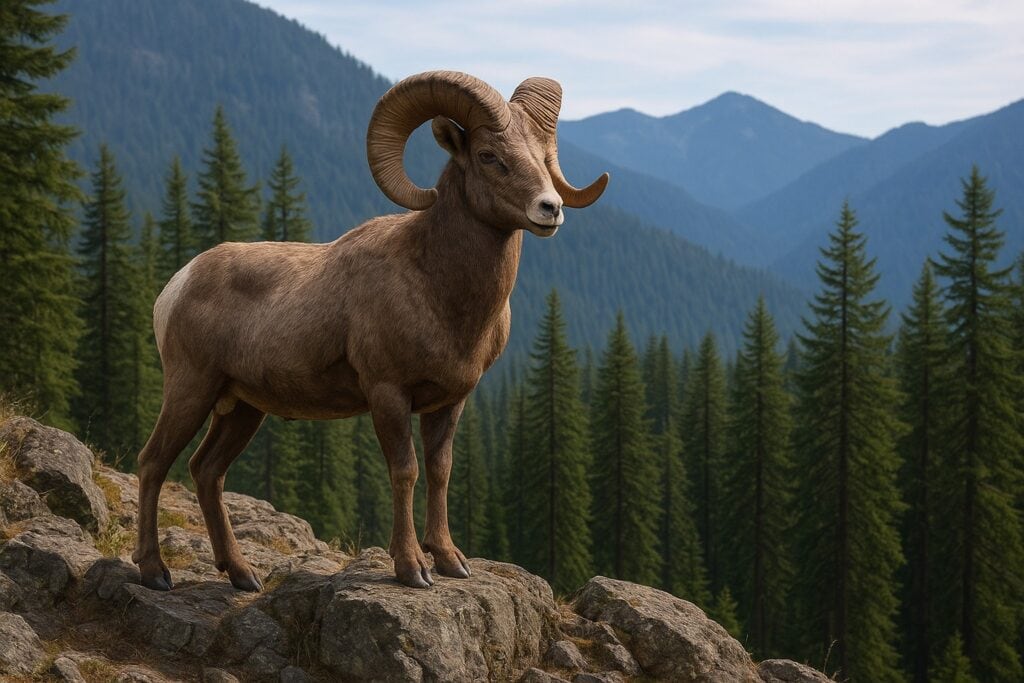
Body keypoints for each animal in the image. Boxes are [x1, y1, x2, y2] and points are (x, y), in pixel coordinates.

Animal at [132, 71, 609, 591]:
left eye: (543, 155)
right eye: (489, 156)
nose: (550, 209)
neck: (438, 290)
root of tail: (177, 286)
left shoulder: (450, 402)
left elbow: (440, 472)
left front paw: (450, 561)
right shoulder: (388, 394)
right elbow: (405, 471)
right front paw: (412, 569)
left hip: (241, 408)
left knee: (206, 472)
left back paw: (242, 576)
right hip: (191, 389)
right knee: (153, 462)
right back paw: (155, 572)